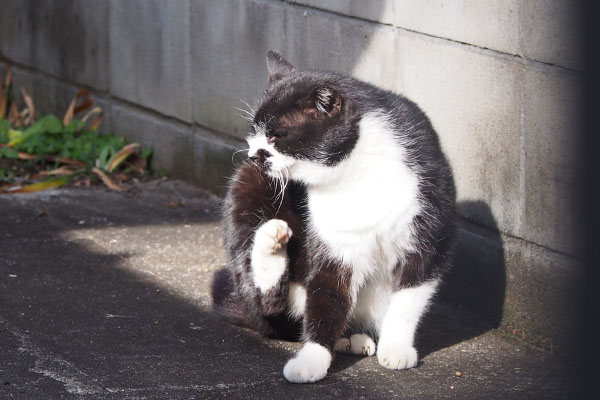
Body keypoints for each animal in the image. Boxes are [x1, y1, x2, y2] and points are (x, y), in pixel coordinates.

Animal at [211, 51, 454, 382]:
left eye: (275, 135)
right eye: (254, 132)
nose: (253, 154)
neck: (354, 174)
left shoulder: (428, 238)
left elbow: (407, 301)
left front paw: (396, 349)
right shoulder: (335, 245)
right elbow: (325, 297)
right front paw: (313, 359)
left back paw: (355, 338)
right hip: (246, 187)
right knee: (271, 309)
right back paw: (272, 242)